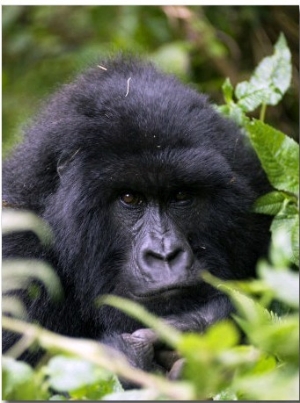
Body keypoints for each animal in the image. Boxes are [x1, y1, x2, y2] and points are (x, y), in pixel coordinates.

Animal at [2, 56, 270, 378]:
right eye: (129, 198)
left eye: (181, 196)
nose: (165, 254)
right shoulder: (17, 255)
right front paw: (128, 357)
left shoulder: (254, 192)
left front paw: (199, 326)